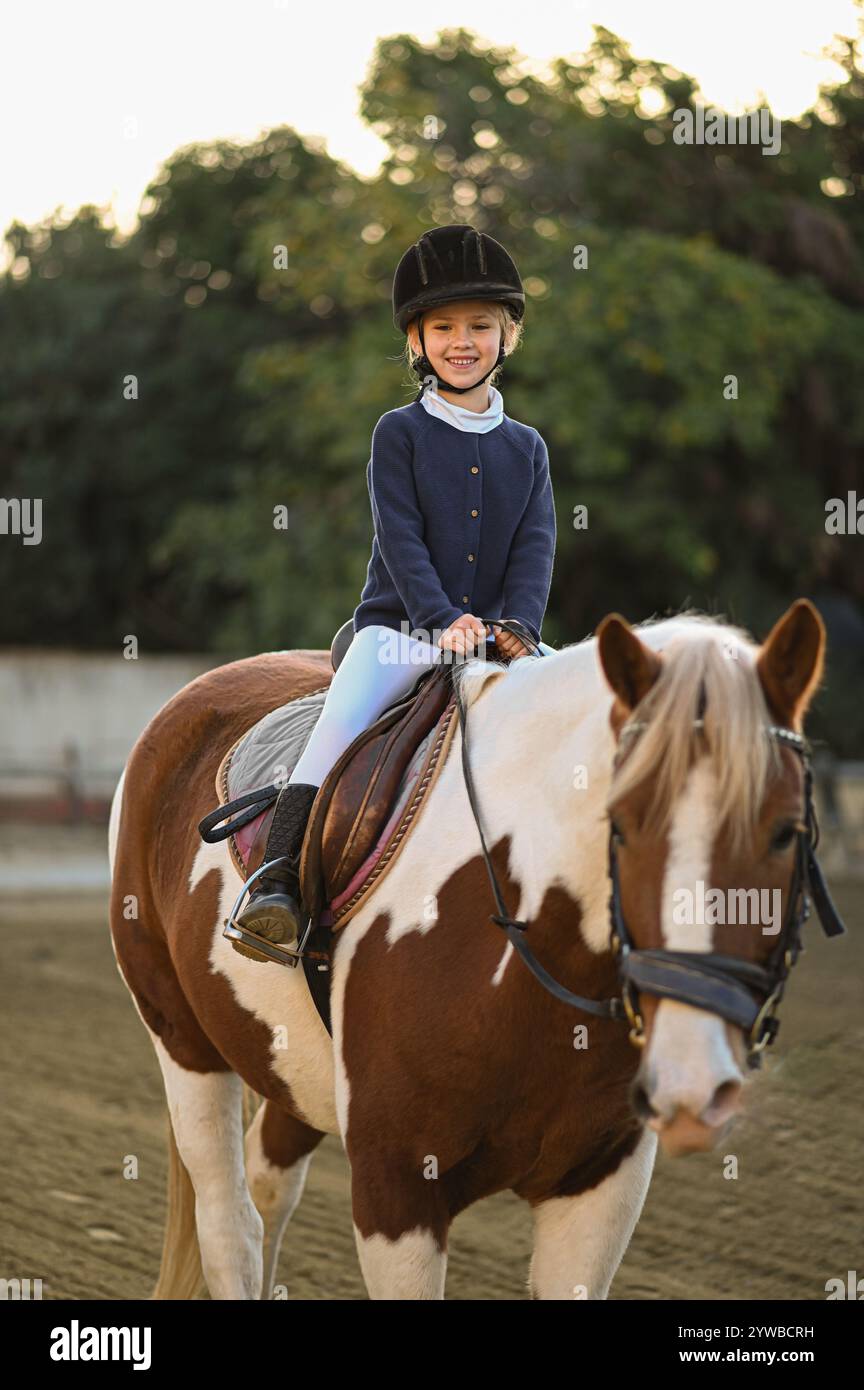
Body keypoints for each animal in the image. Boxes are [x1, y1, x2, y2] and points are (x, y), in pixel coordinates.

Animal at [106, 600, 827, 1301]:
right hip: (185, 1046)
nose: (694, 1083)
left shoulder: (600, 1185)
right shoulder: (395, 1188)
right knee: (231, 1228)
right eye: (618, 824)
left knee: (267, 1187)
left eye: (786, 831)